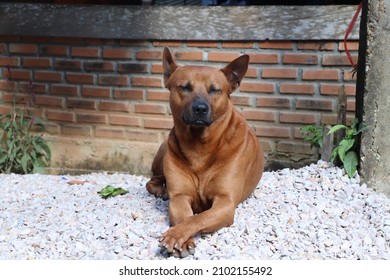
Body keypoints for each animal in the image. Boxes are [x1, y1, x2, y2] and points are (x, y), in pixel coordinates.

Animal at [146, 47, 266, 258]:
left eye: (214, 90)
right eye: (185, 87)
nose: (200, 108)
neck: (199, 146)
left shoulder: (225, 202)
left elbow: (197, 219)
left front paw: (175, 235)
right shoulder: (180, 197)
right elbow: (185, 217)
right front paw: (183, 239)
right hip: (164, 149)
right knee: (151, 181)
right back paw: (161, 190)